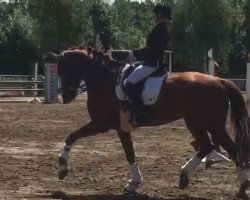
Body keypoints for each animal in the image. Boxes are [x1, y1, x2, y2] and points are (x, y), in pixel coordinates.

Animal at [50, 48, 250, 197]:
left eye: (64, 69)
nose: (66, 96)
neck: (106, 80)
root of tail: (220, 80)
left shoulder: (101, 124)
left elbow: (71, 136)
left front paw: (62, 169)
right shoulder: (120, 128)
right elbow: (130, 153)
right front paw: (133, 183)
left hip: (212, 124)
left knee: (230, 149)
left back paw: (241, 187)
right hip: (195, 122)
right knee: (207, 146)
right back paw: (185, 177)